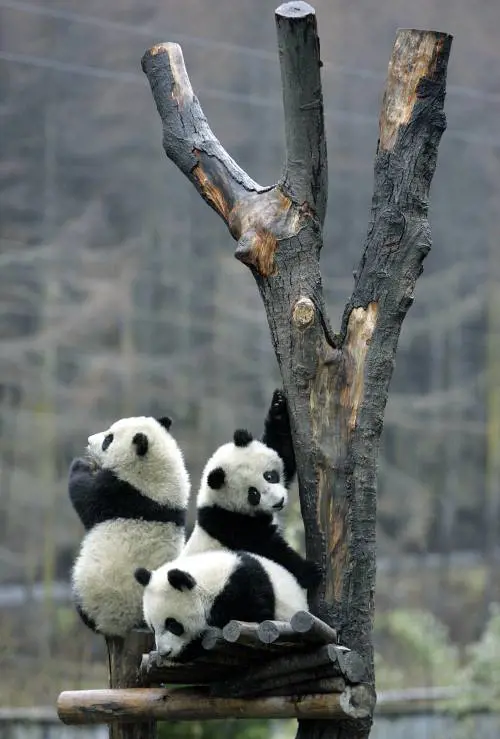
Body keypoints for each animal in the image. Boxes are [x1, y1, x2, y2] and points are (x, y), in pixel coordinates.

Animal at [69, 415, 190, 638]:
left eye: (108, 440)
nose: (89, 441)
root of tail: (129, 624)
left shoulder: (120, 493)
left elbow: (84, 496)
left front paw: (81, 465)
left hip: (95, 593)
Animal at [134, 549, 308, 661]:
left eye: (173, 625)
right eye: (152, 627)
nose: (164, 652)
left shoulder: (244, 590)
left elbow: (254, 617)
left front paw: (191, 647)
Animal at [181, 397, 321, 591]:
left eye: (269, 476)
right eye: (253, 494)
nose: (279, 501)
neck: (218, 503)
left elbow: (282, 452)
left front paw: (278, 407)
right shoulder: (230, 525)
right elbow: (268, 548)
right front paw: (310, 572)